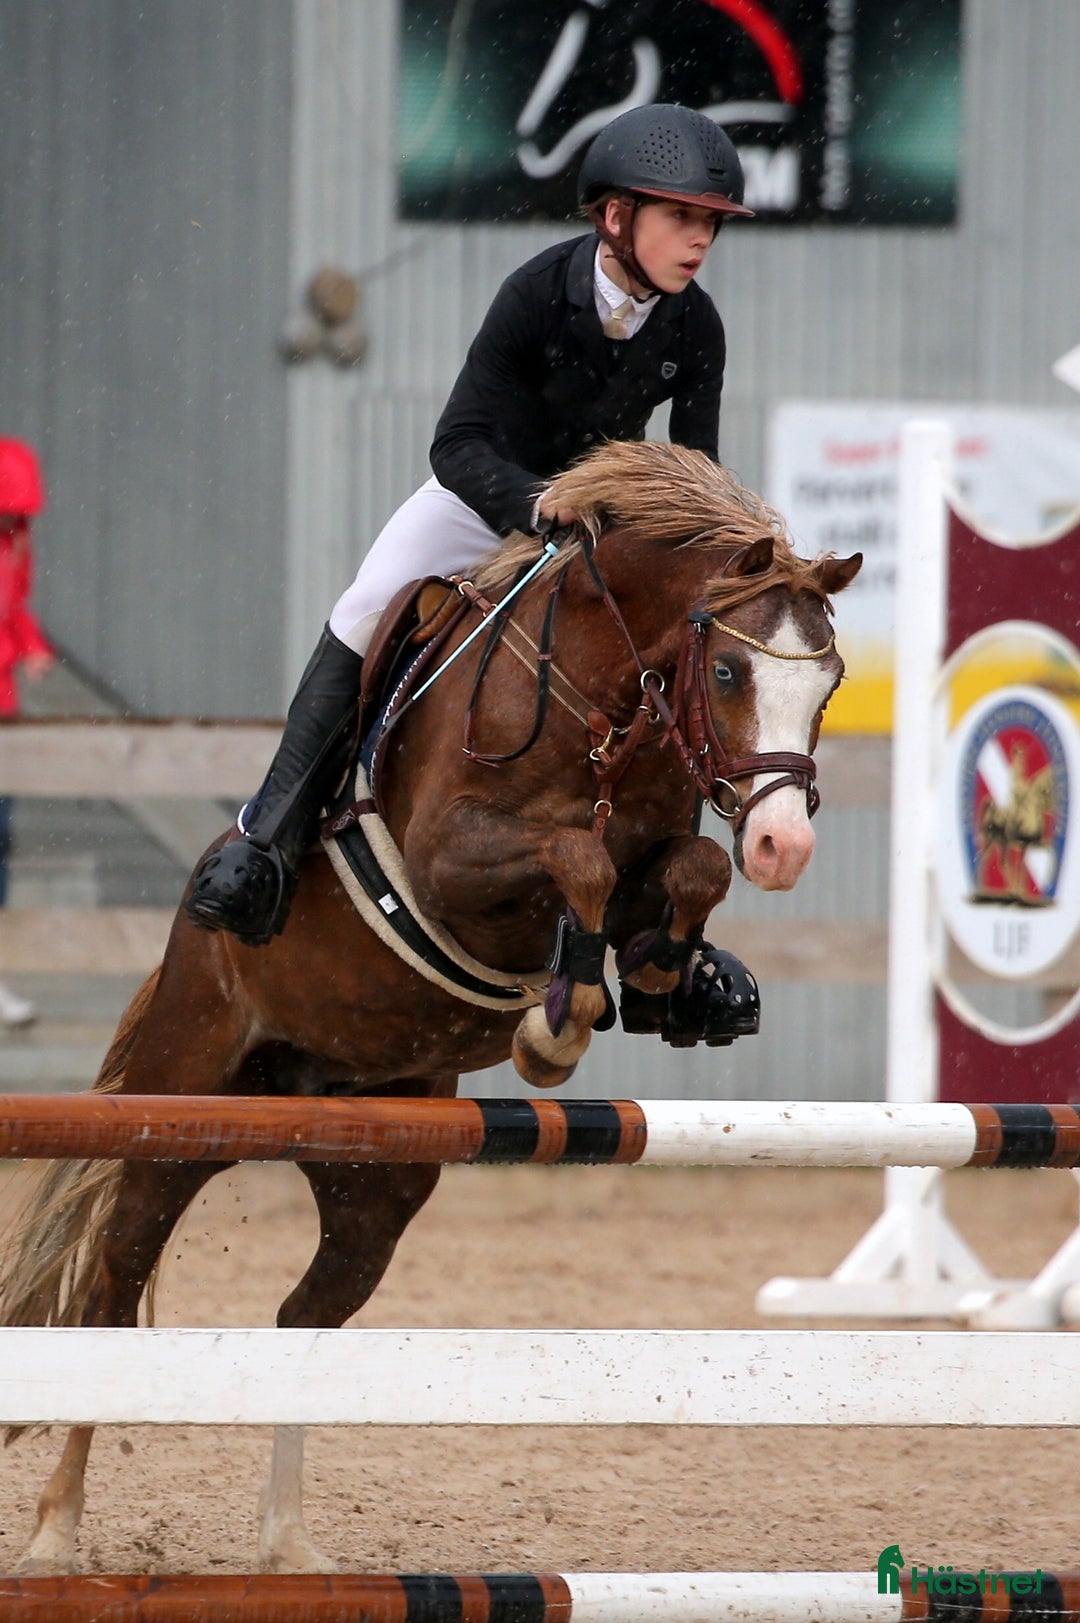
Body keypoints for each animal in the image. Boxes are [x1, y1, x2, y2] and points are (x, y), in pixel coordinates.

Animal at [0, 440, 860, 1574]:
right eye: (727, 671)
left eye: (830, 682)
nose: (785, 846)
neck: (603, 701)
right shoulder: (454, 858)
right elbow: (578, 855)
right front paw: (555, 1025)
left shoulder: (658, 855)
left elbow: (688, 869)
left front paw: (661, 978)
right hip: (179, 1111)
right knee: (110, 1289)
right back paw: (56, 1534)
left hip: (381, 1170)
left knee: (306, 1318)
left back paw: (288, 1546)